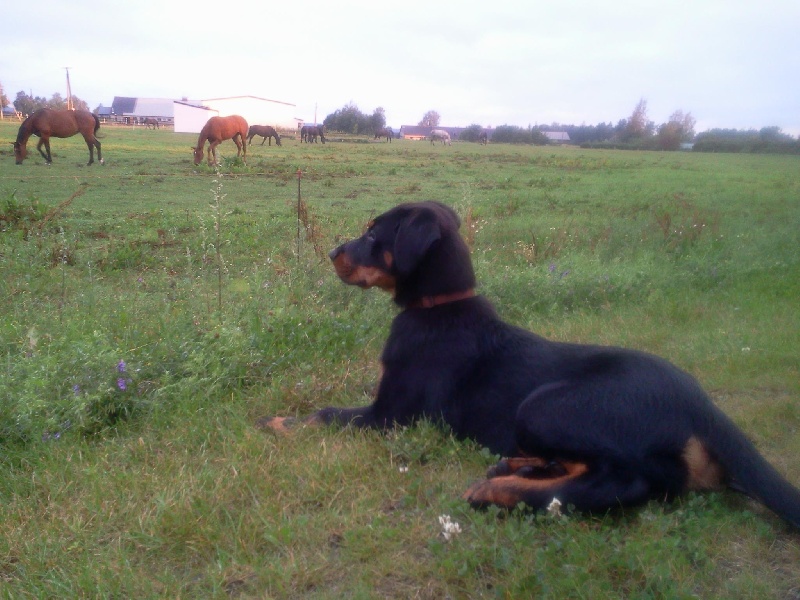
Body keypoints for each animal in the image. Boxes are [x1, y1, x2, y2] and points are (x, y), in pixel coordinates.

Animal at [264, 203, 800, 528]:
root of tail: (700, 404)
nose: (333, 252)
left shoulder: (393, 415)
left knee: (624, 482)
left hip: (544, 405)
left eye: (375, 232)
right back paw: (518, 466)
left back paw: (497, 490)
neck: (439, 306)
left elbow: (327, 414)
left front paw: (278, 422)